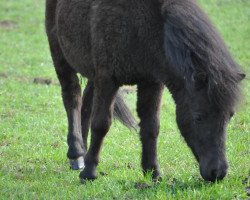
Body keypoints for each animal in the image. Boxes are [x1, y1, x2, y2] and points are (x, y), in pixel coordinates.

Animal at [45, 0, 244, 182]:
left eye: (230, 116)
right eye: (198, 117)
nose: (217, 172)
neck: (141, 26)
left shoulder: (151, 82)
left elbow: (151, 126)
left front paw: (152, 172)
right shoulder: (108, 79)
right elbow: (101, 124)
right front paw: (89, 173)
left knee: (86, 105)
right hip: (60, 55)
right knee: (72, 98)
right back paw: (77, 154)